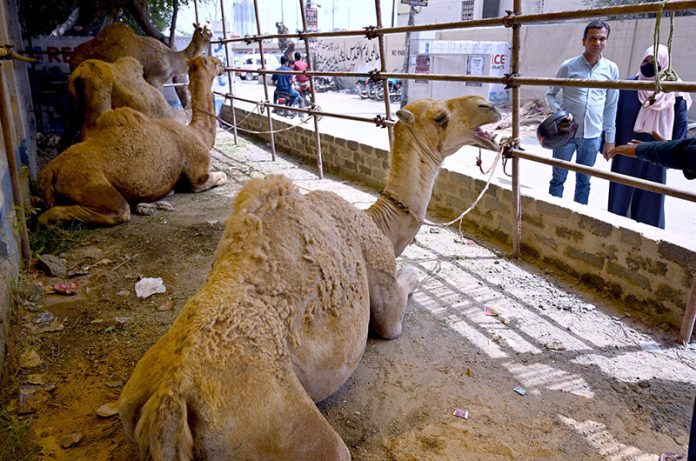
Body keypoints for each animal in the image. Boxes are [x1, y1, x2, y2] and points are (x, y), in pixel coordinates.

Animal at [37, 56, 226, 227]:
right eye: (214, 61)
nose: (223, 64)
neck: (198, 133)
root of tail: (51, 169)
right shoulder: (198, 176)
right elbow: (221, 177)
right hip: (89, 182)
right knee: (118, 210)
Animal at [118, 95, 501, 460]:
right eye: (440, 116)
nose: (489, 107)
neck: (378, 222)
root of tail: (170, 400)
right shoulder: (382, 285)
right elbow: (398, 304)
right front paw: (414, 273)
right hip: (288, 426)